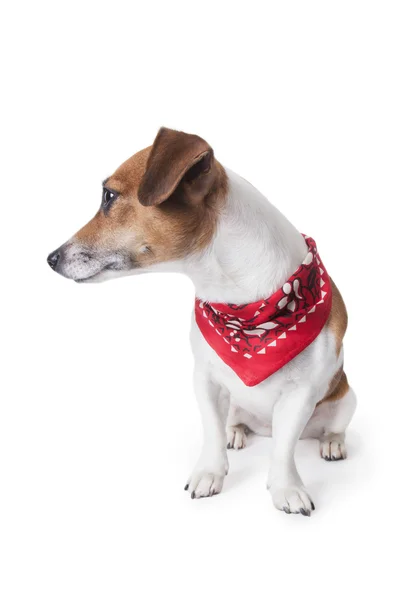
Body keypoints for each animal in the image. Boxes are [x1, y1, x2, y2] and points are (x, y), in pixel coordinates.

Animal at [47, 127, 356, 516]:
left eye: (109, 196)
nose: (51, 258)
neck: (244, 310)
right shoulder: (205, 379)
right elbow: (211, 430)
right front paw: (210, 473)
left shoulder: (300, 394)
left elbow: (285, 451)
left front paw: (287, 488)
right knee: (233, 421)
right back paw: (236, 432)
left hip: (346, 398)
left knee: (329, 428)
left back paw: (332, 442)